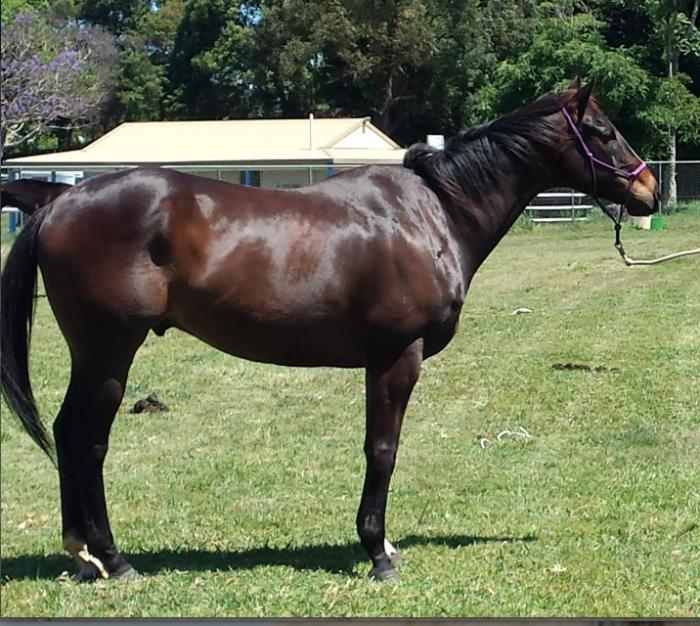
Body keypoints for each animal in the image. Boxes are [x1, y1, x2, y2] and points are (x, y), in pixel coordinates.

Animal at [0, 80, 658, 583]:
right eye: (601, 131)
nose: (648, 187)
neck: (432, 213)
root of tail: (59, 199)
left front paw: (382, 545)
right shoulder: (396, 356)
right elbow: (382, 449)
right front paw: (377, 552)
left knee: (68, 434)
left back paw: (83, 556)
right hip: (108, 350)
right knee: (86, 440)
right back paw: (111, 558)